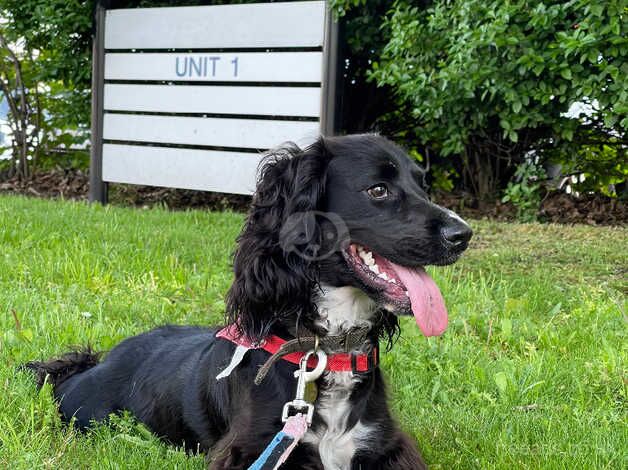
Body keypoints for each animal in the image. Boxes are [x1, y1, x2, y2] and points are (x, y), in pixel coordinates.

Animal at [28, 133, 472, 470]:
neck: (326, 349)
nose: (463, 235)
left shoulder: (384, 446)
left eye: (422, 186)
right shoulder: (255, 450)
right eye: (378, 190)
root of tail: (98, 363)